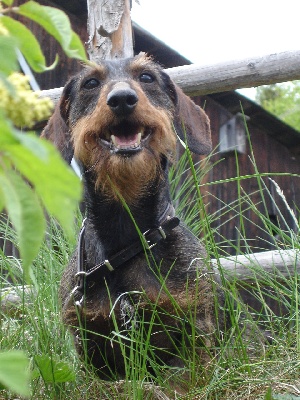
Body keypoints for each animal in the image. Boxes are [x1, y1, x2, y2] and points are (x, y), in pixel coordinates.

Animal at [42, 53, 225, 382]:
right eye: (91, 83)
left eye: (147, 77)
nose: (122, 99)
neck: (128, 241)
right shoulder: (89, 339)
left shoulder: (196, 323)